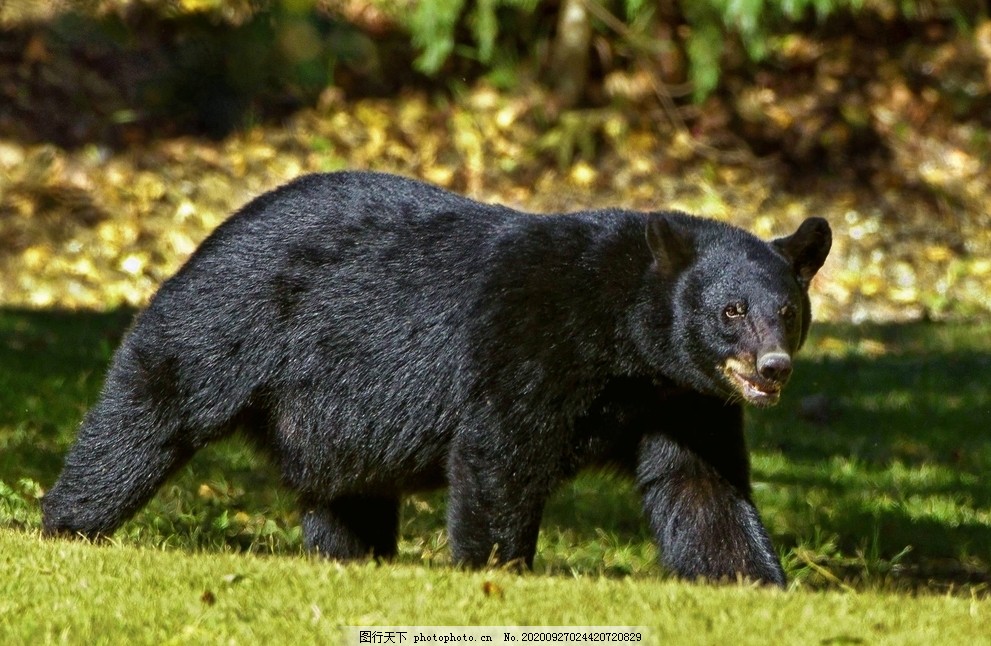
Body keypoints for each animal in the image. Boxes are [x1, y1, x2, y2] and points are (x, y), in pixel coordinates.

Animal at [40, 172, 828, 588]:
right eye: (730, 311)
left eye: (787, 312)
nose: (772, 368)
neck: (624, 340)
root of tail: (217, 227)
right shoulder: (530, 340)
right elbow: (500, 454)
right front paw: (497, 572)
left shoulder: (682, 398)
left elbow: (702, 488)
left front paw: (755, 583)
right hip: (229, 319)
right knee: (151, 409)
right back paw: (68, 524)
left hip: (332, 419)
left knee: (345, 495)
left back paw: (352, 558)